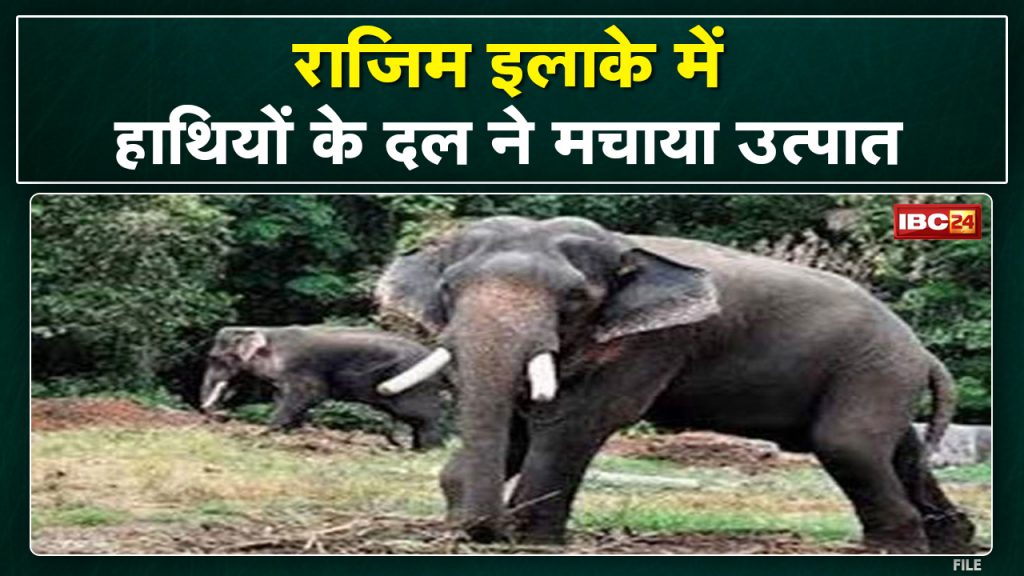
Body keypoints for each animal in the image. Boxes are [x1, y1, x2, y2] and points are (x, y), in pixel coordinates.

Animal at [199, 326, 447, 450]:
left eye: (214, 358)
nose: (216, 416)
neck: (265, 331)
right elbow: (282, 397)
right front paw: (290, 431)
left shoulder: (301, 368)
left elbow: (307, 395)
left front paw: (266, 432)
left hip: (414, 386)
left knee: (422, 418)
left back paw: (429, 449)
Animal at [373, 215, 976, 552]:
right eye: (448, 289)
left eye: (574, 298)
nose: (482, 530)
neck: (623, 247)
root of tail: (925, 354)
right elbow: (522, 422)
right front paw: (462, 526)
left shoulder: (656, 342)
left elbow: (572, 423)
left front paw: (532, 543)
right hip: (881, 377)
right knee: (897, 450)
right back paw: (951, 540)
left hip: (873, 370)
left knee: (847, 445)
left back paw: (891, 550)